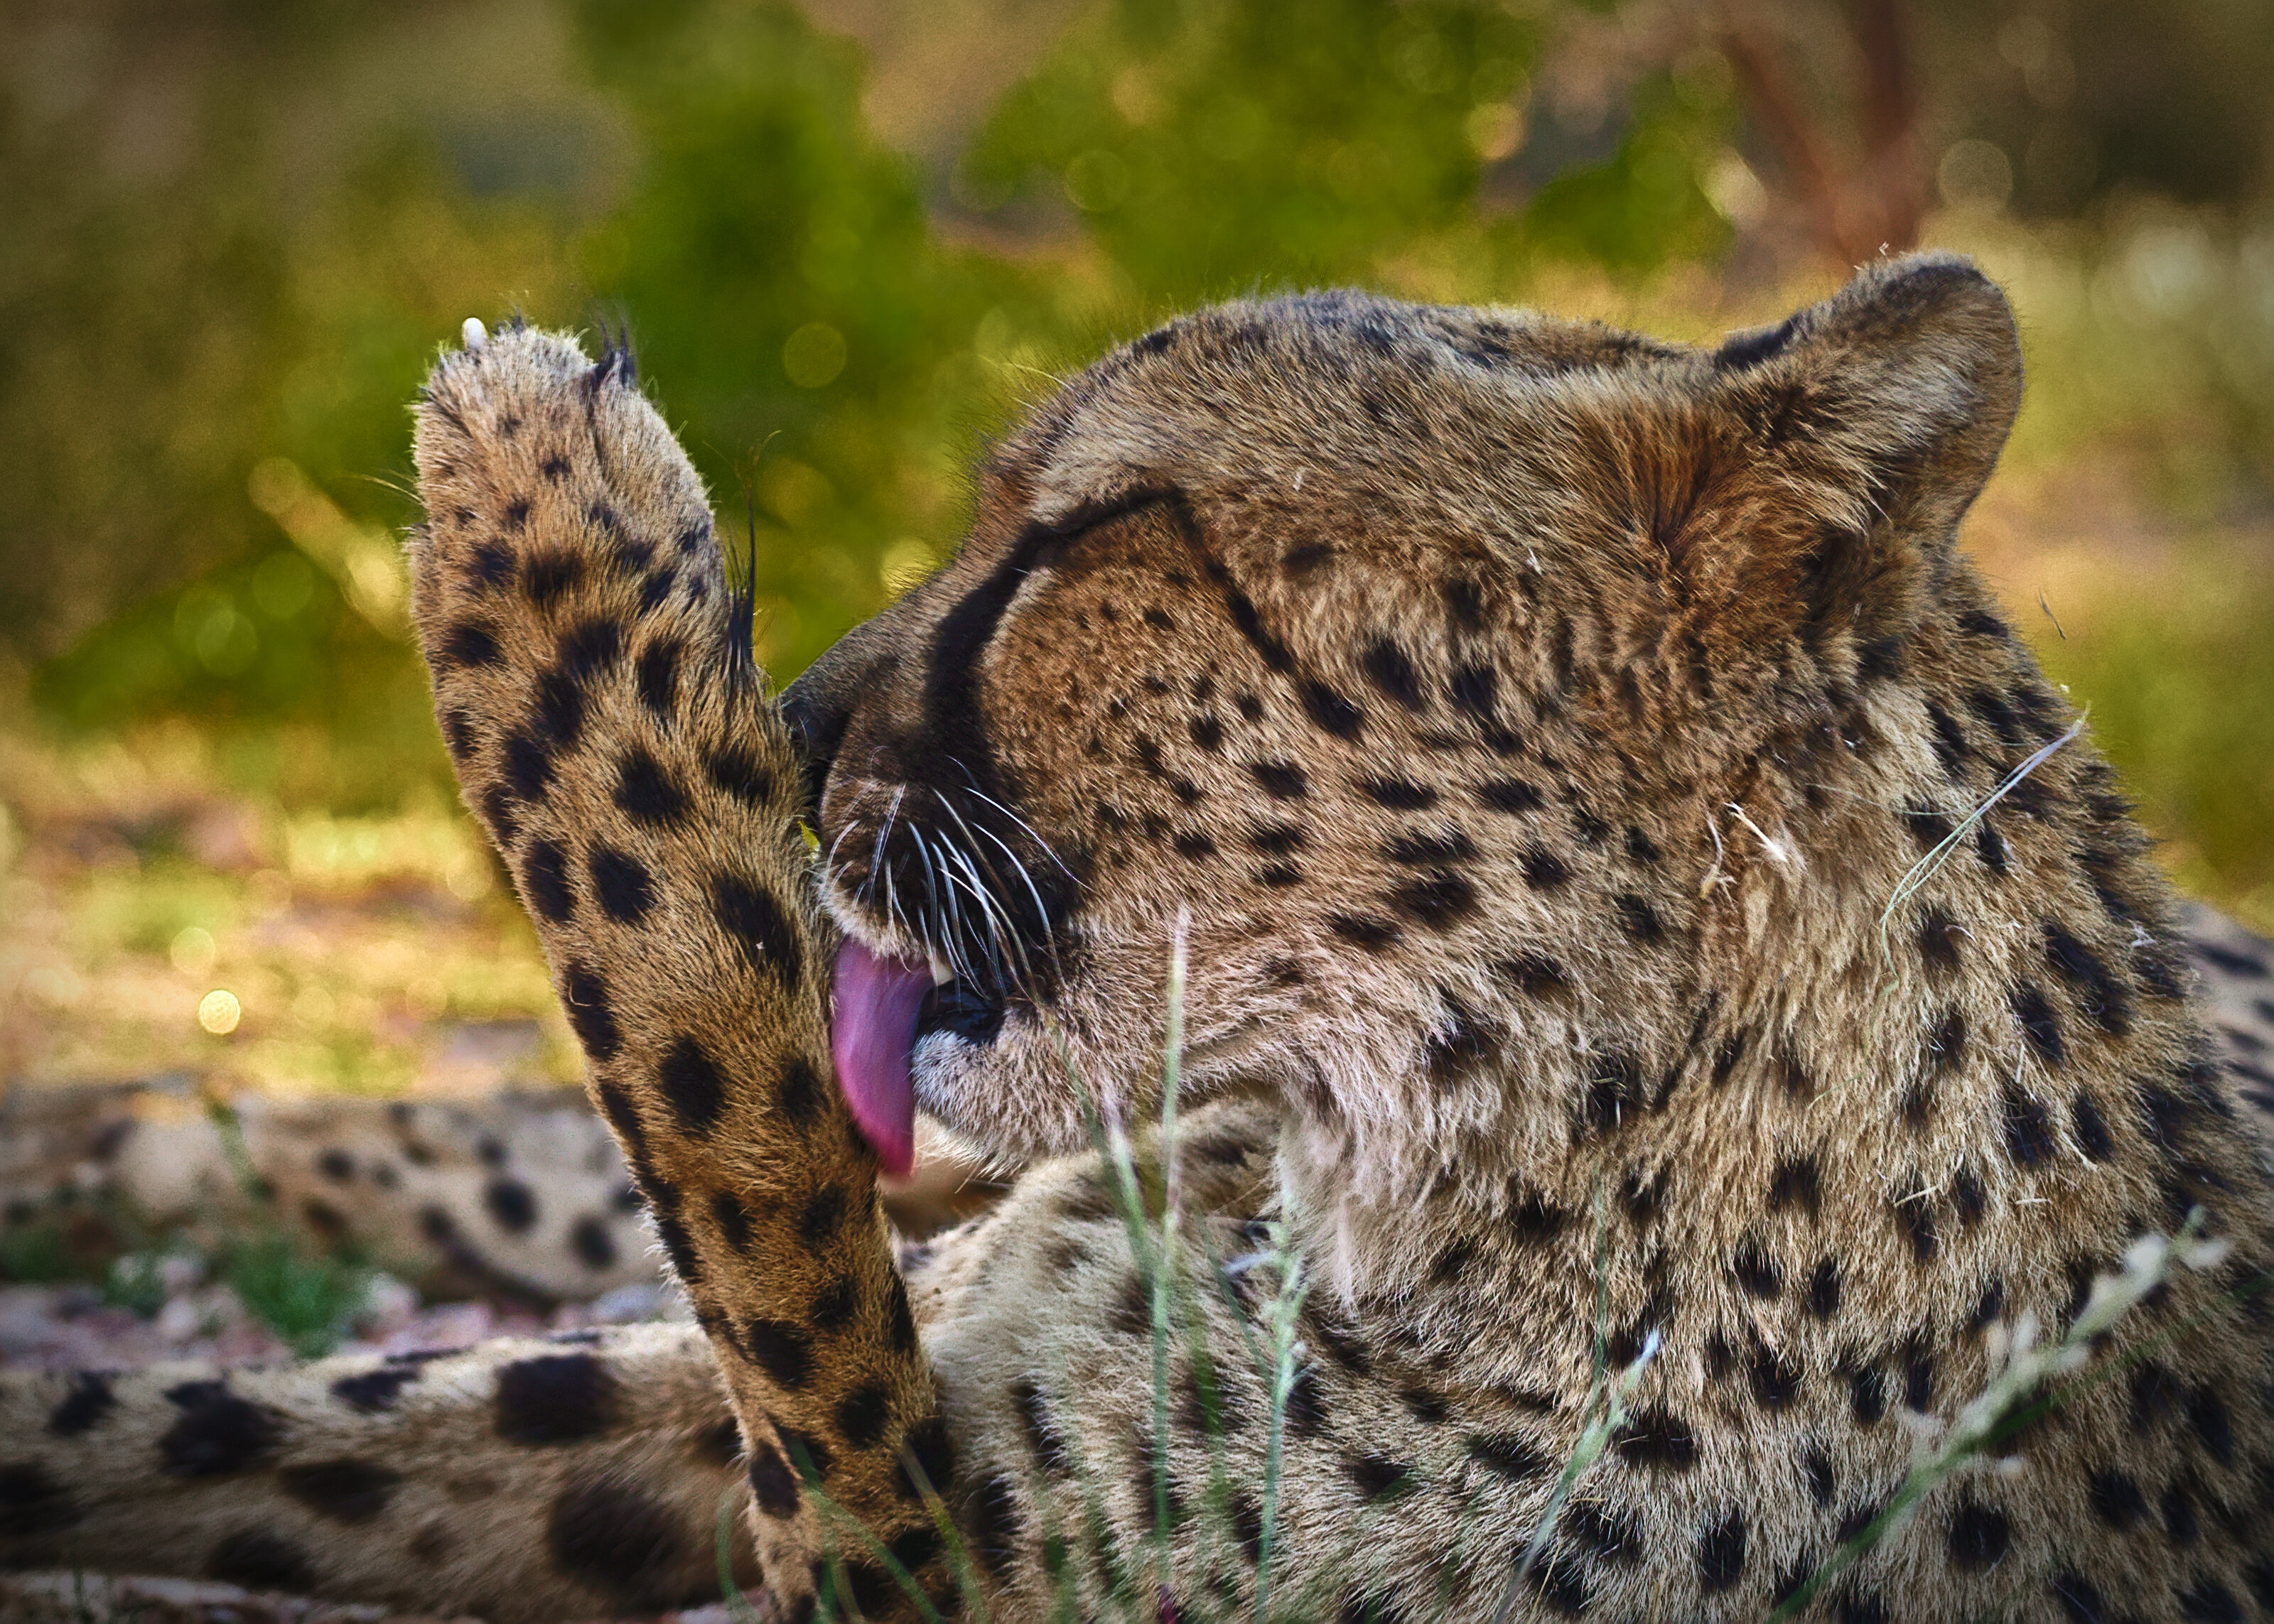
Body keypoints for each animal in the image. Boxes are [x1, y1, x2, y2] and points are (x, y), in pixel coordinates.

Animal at [5, 251, 2273, 1624]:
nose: (800, 721)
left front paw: (543, 536)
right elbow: (299, 1410)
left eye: (1097, 533)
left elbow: (734, 1120)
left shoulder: (929, 1547)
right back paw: (114, 1135)